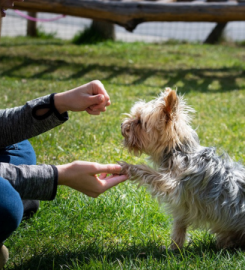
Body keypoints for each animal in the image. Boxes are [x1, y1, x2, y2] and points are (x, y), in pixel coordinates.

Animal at [119, 89, 245, 250]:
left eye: (140, 121)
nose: (122, 125)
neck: (179, 151)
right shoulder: (183, 206)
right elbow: (179, 227)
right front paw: (174, 248)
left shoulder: (172, 184)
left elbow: (149, 172)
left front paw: (128, 167)